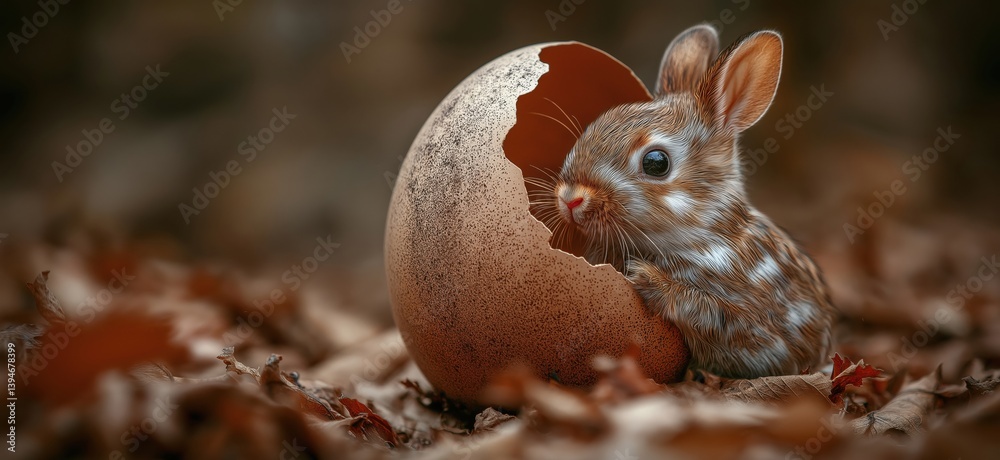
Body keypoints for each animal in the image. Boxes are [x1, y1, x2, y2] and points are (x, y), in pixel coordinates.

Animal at [537, 25, 836, 378]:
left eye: (656, 163)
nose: (571, 199)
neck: (696, 231)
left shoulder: (751, 319)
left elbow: (713, 314)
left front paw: (645, 277)